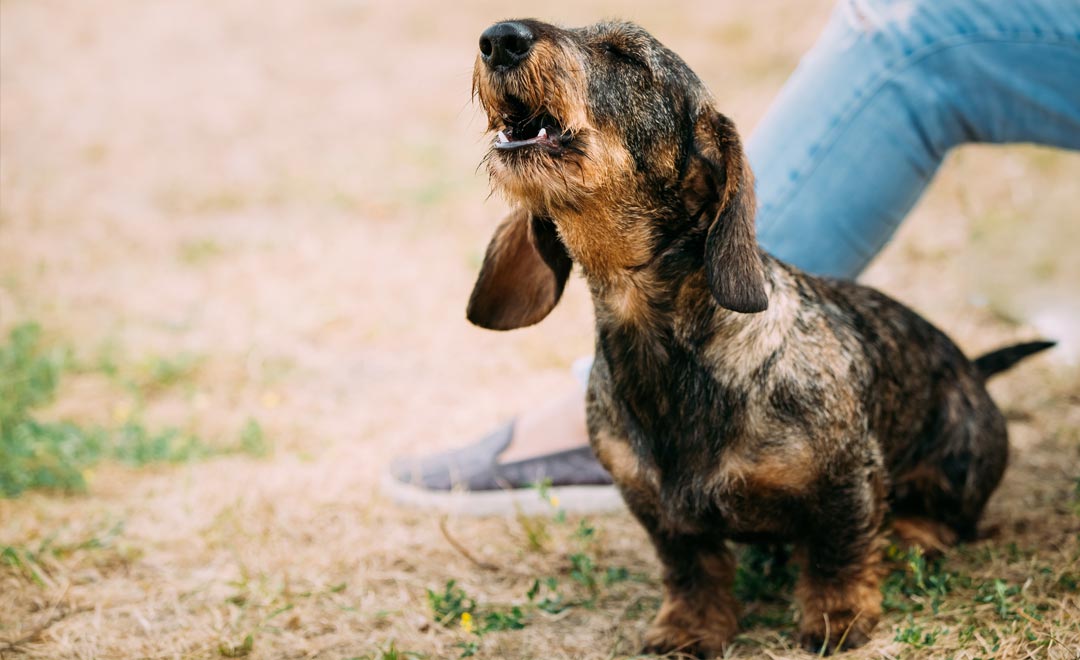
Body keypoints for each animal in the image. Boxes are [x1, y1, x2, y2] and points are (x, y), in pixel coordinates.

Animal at [466, 18, 1054, 656]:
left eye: (629, 57)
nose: (500, 37)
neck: (666, 349)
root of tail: (973, 368)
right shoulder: (654, 507)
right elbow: (691, 568)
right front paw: (691, 626)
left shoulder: (846, 477)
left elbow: (837, 550)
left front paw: (837, 615)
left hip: (959, 455)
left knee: (946, 515)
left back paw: (912, 535)